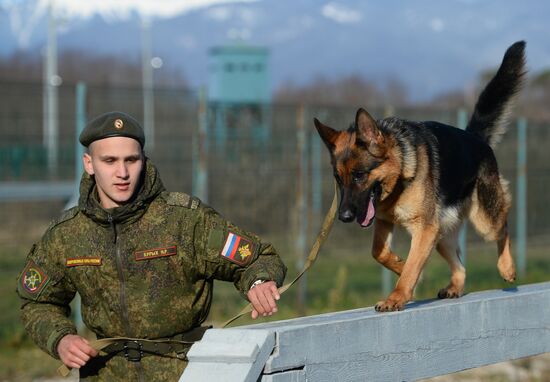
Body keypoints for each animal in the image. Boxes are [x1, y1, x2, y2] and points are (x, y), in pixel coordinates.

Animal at [314, 41, 528, 310]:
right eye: (338, 179)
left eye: (360, 175)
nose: (343, 217)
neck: (400, 175)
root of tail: (475, 137)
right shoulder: (387, 222)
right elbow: (379, 252)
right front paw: (400, 265)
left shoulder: (423, 230)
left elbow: (411, 270)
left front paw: (396, 297)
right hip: (441, 234)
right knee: (460, 266)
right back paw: (455, 287)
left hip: (483, 221)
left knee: (504, 228)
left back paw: (507, 267)